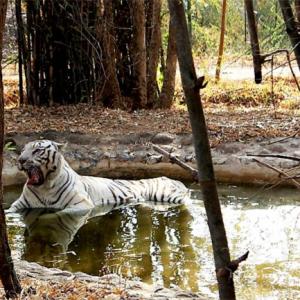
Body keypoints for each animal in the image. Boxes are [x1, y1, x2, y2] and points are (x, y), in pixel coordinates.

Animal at [8, 140, 190, 212]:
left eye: (37, 150)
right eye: (23, 150)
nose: (20, 160)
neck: (44, 186)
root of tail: (174, 180)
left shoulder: (81, 205)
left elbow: (56, 214)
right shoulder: (19, 204)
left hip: (165, 194)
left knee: (187, 200)